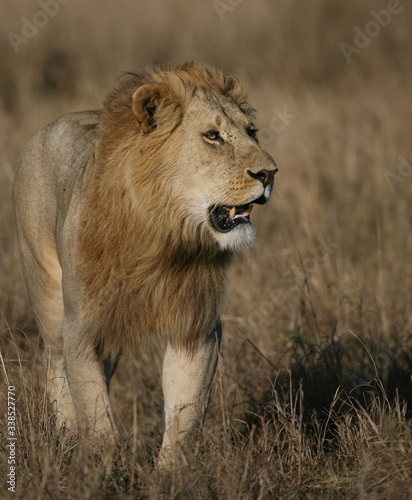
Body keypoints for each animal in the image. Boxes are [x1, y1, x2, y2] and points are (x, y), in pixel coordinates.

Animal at [12, 61, 276, 464]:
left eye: (251, 132)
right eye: (213, 136)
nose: (270, 173)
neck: (164, 233)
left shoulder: (196, 325)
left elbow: (185, 408)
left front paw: (171, 472)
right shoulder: (81, 325)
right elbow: (94, 410)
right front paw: (106, 467)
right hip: (47, 295)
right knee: (56, 365)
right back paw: (66, 441)